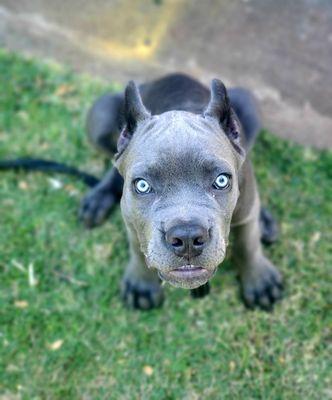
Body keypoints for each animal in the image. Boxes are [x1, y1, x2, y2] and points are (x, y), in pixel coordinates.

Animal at [80, 73, 282, 310]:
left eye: (221, 180)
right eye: (142, 185)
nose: (187, 238)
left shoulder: (246, 210)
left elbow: (247, 243)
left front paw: (260, 280)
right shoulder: (131, 219)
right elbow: (138, 248)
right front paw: (142, 284)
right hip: (100, 115)